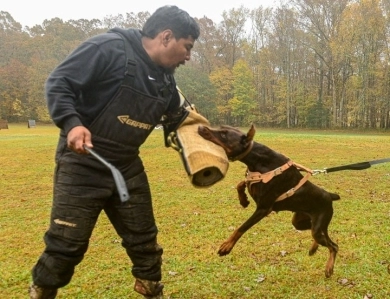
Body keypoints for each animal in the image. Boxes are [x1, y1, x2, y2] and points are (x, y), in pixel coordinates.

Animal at [198, 124, 342, 278]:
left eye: (224, 134)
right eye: (222, 128)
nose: (200, 127)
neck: (258, 160)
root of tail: (330, 196)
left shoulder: (263, 208)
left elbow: (241, 227)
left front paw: (226, 246)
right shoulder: (252, 181)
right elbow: (241, 183)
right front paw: (243, 201)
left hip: (318, 223)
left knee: (333, 246)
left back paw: (329, 268)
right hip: (300, 222)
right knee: (320, 236)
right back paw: (314, 249)